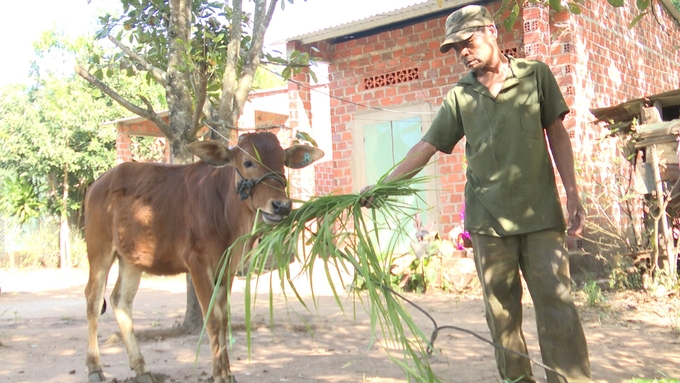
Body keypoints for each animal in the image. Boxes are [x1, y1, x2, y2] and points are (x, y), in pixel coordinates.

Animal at [84, 133, 324, 383]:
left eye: (282, 161)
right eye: (248, 162)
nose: (281, 206)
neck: (226, 214)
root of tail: (97, 184)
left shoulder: (226, 269)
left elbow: (225, 317)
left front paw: (228, 372)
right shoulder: (198, 264)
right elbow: (213, 319)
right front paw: (219, 375)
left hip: (132, 259)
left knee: (120, 301)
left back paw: (141, 368)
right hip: (99, 248)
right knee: (93, 300)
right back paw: (94, 368)